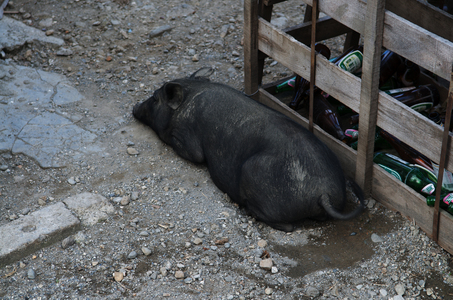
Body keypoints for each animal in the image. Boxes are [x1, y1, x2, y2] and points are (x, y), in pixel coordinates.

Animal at [133, 68, 364, 232]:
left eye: (155, 98)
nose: (134, 107)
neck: (190, 96)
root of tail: (323, 193)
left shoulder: (188, 140)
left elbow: (193, 154)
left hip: (252, 173)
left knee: (286, 225)